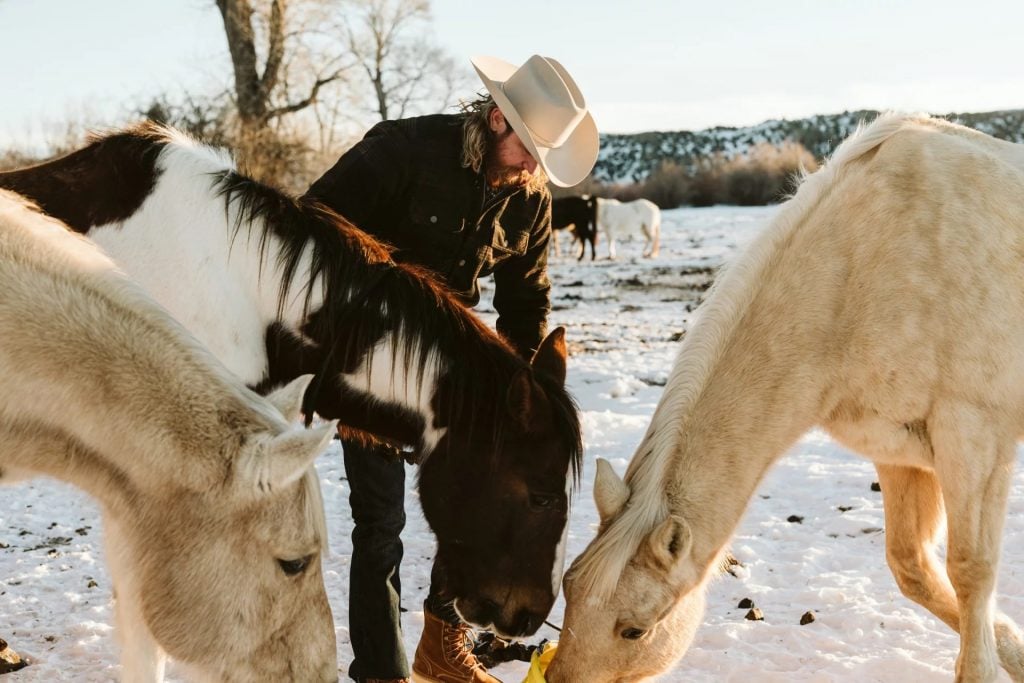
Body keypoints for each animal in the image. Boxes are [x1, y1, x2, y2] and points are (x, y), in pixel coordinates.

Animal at [548, 113, 1024, 683]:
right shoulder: (898, 450)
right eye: (569, 588)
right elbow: (911, 567)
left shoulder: (974, 438)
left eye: (634, 630)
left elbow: (971, 569)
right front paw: (1014, 650)